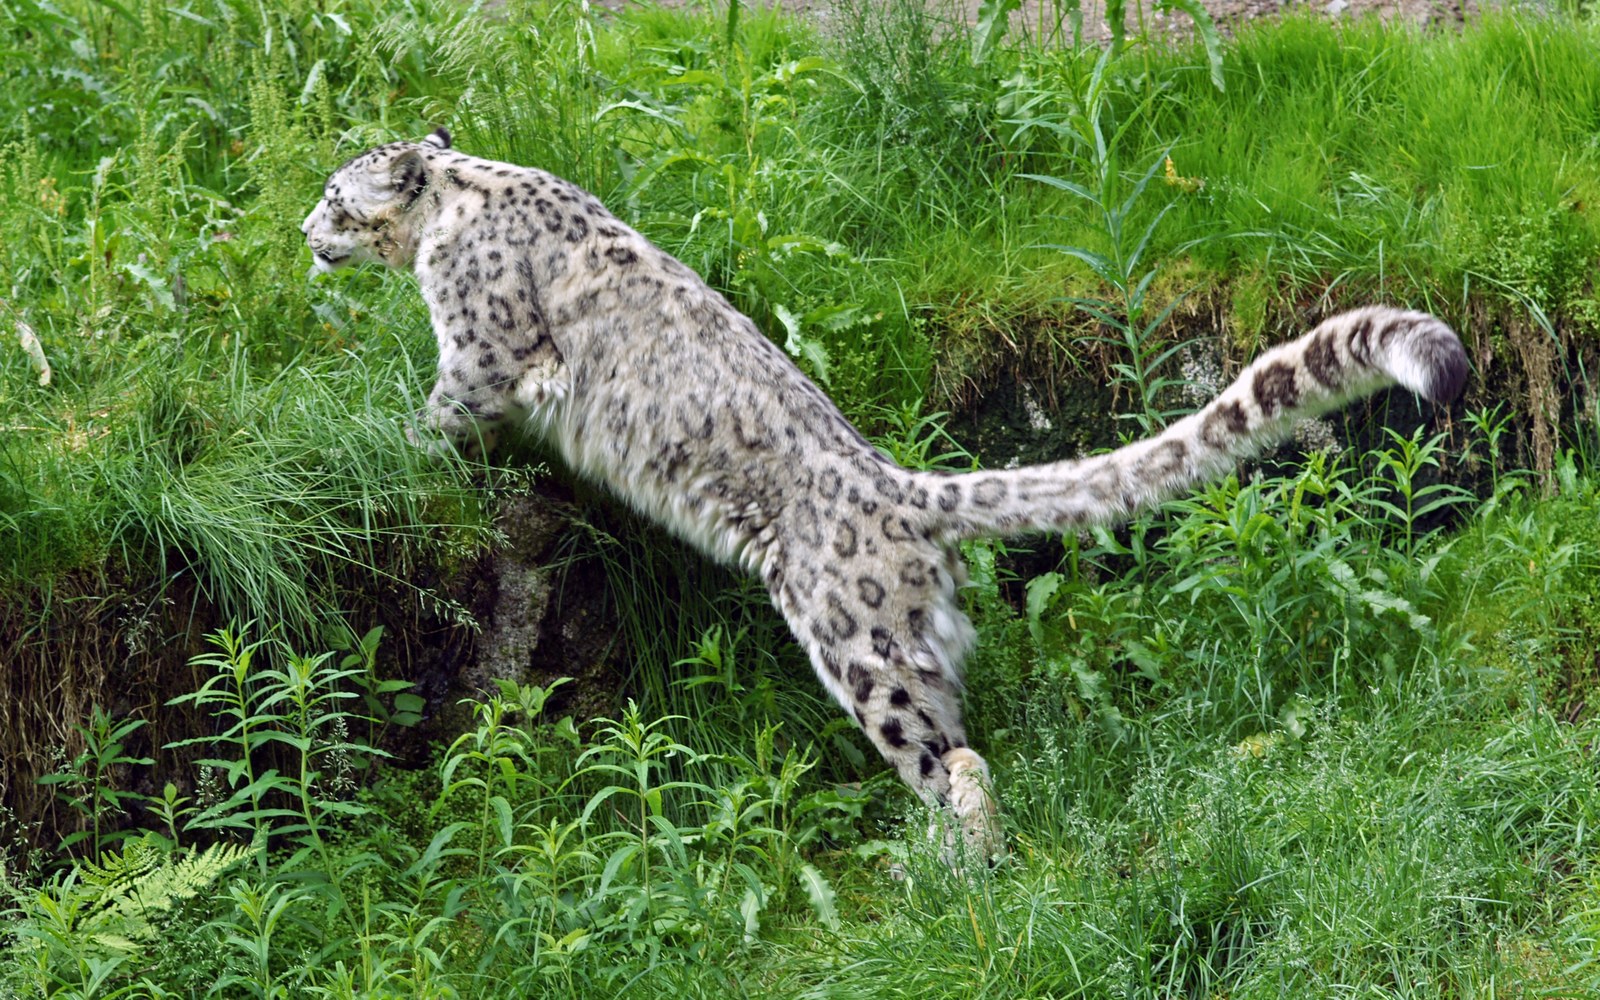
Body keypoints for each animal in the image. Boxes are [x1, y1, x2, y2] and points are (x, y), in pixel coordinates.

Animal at [301, 128, 1470, 861]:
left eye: (335, 195)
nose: (304, 235)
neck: (456, 209)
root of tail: (900, 489)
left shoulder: (483, 348)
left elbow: (442, 411)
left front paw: (384, 444)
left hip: (856, 646)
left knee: (949, 758)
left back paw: (954, 871)